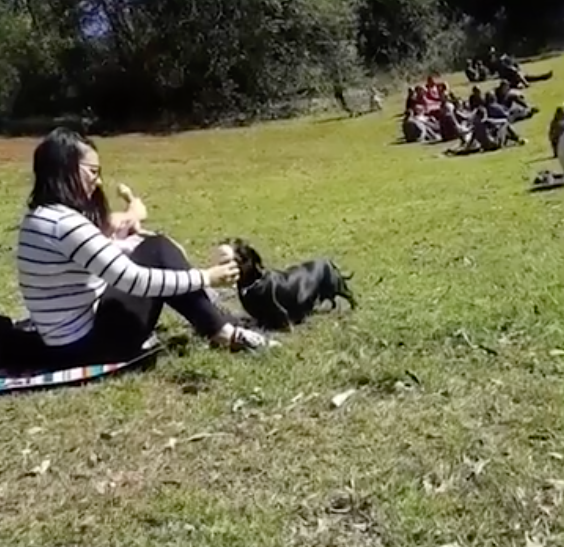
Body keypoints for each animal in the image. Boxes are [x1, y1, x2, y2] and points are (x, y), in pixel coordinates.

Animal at [226, 239, 354, 330]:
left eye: (241, 251)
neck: (253, 284)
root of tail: (329, 262)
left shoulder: (282, 312)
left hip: (337, 287)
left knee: (349, 295)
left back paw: (354, 307)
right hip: (327, 292)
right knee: (333, 301)